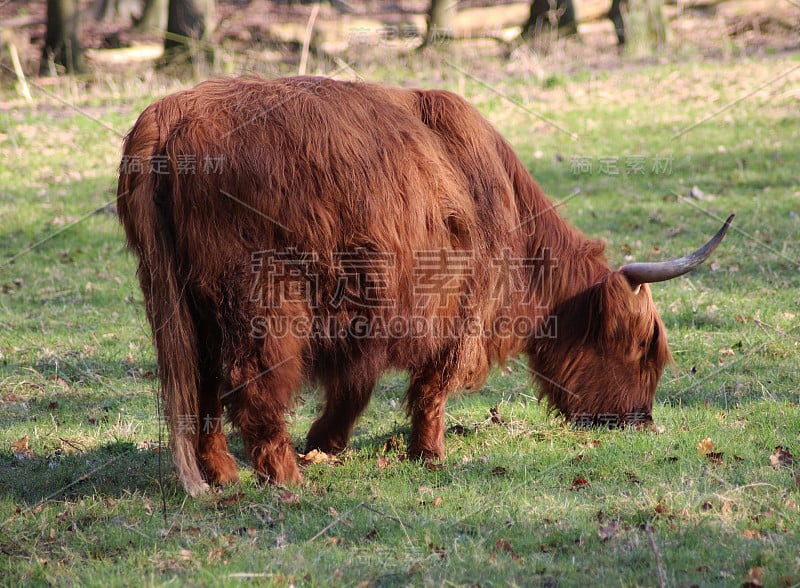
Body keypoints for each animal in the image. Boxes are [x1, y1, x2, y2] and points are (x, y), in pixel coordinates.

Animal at [115, 76, 736, 494]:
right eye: (642, 347)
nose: (640, 422)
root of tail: (168, 117)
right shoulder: (457, 308)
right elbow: (432, 386)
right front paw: (428, 453)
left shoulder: (367, 314)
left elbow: (355, 386)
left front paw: (327, 443)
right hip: (263, 297)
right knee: (251, 382)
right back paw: (286, 477)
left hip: (184, 304)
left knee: (200, 386)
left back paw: (224, 473)